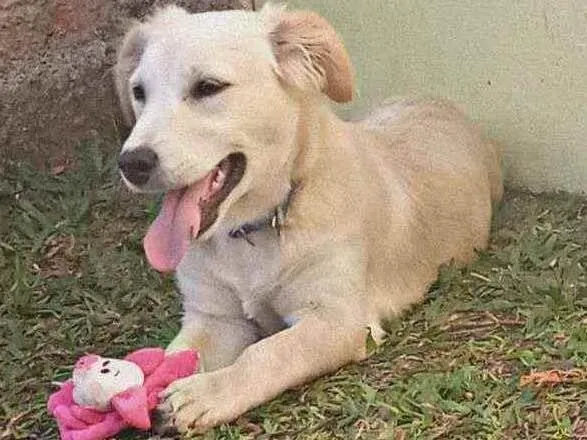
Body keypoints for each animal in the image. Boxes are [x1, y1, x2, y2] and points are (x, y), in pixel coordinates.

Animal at [114, 3, 503, 433]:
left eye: (208, 87)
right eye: (139, 92)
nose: (131, 163)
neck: (255, 229)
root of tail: (439, 101)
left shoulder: (337, 321)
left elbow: (268, 353)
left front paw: (206, 394)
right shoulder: (214, 318)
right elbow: (176, 355)